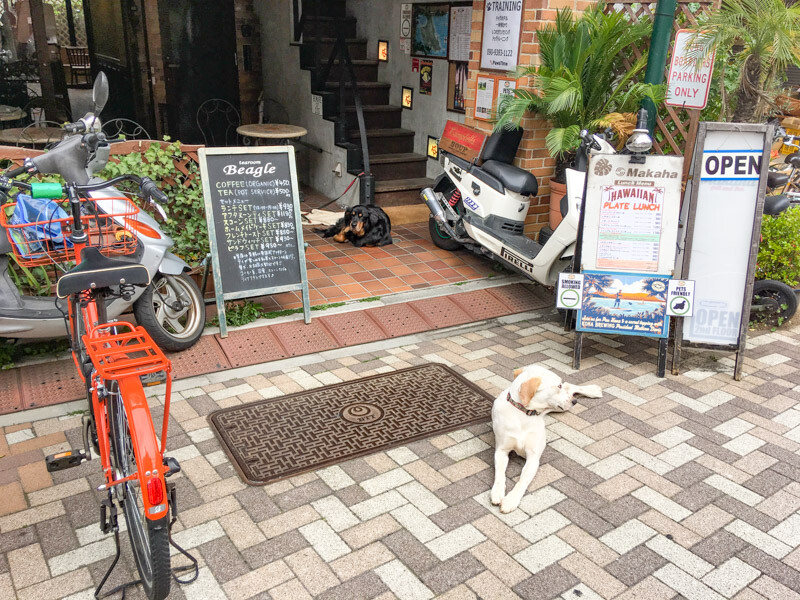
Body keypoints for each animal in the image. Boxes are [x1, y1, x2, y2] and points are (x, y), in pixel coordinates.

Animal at [490, 364, 604, 512]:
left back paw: (593, 390)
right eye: (558, 386)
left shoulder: (533, 457)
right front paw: (497, 492)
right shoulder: (501, 450)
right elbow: (499, 473)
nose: (575, 401)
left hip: (561, 407)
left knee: (570, 387)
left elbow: (523, 479)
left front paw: (511, 500)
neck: (523, 414)